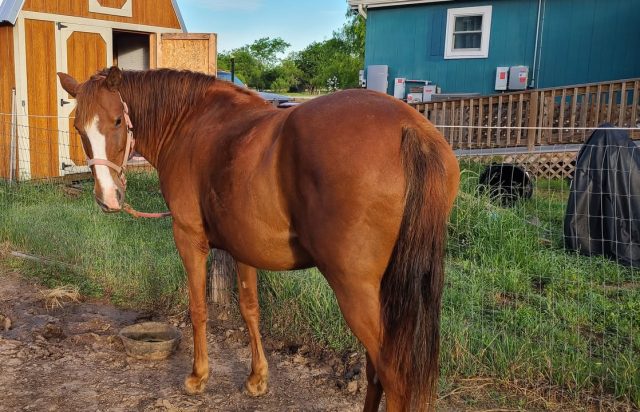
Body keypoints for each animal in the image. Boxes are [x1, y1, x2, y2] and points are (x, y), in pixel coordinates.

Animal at [57, 66, 460, 411]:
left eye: (117, 121)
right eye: (78, 128)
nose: (108, 198)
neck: (191, 123)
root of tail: (409, 126)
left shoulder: (189, 240)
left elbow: (198, 309)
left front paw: (198, 377)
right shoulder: (244, 248)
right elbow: (250, 309)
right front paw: (257, 379)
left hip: (355, 287)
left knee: (392, 372)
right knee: (377, 369)